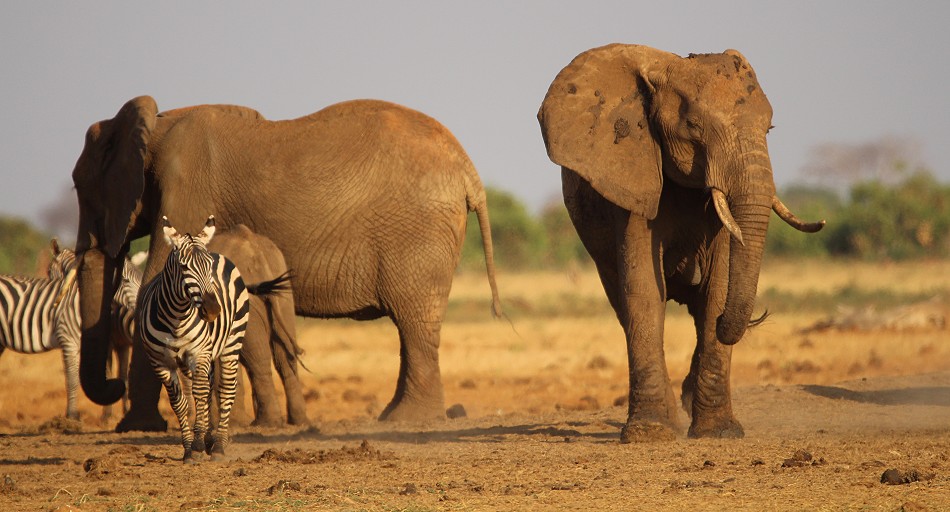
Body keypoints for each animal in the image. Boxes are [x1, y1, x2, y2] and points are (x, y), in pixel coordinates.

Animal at [70, 96, 502, 432]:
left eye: (80, 186)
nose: (112, 386)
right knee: (413, 327)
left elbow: (158, 282)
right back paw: (396, 416)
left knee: (412, 321)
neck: (157, 125)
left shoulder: (185, 190)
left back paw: (404, 420)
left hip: (417, 235)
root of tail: (469, 171)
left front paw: (137, 428)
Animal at [139, 214, 251, 462]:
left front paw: (199, 444)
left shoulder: (198, 353)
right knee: (207, 388)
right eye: (183, 267)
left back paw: (217, 446)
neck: (175, 318)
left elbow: (198, 394)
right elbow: (180, 403)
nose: (212, 310)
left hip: (231, 342)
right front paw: (189, 447)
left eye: (208, 266)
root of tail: (220, 253)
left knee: (225, 389)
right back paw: (209, 439)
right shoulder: (160, 362)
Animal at [544, 45, 824, 440]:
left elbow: (718, 287)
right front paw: (649, 434)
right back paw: (673, 419)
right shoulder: (634, 178)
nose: (758, 315)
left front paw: (720, 433)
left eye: (769, 128)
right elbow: (644, 291)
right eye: (693, 127)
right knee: (624, 306)